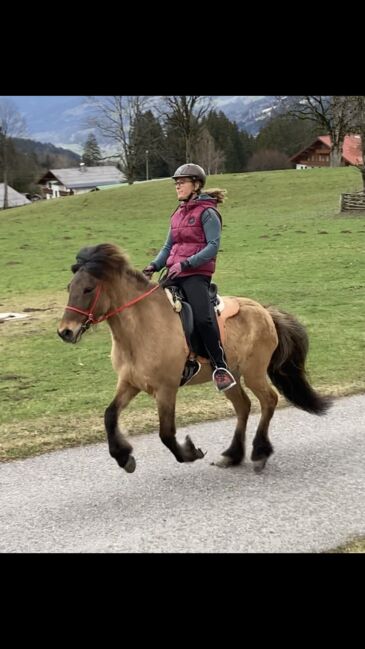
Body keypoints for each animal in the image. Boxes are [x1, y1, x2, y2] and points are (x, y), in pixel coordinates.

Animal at [57, 242, 332, 470]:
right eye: (70, 287)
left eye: (89, 289)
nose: (65, 332)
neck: (142, 329)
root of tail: (264, 311)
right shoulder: (130, 383)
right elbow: (110, 415)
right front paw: (123, 456)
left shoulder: (166, 388)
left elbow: (166, 433)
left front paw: (189, 452)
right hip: (229, 375)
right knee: (243, 405)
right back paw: (233, 454)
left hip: (254, 372)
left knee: (269, 401)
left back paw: (259, 452)